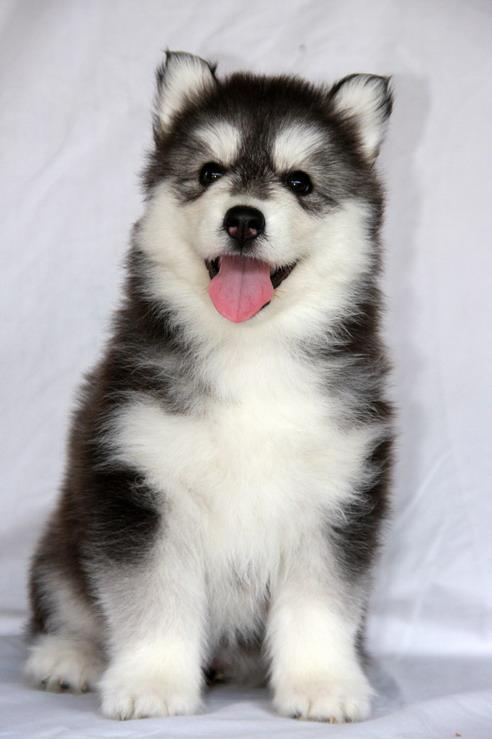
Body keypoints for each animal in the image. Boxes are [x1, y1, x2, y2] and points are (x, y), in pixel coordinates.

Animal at [25, 51, 393, 722]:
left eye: (300, 182)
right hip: (60, 544)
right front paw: (151, 683)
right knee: (68, 602)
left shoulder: (338, 492)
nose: (244, 218)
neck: (251, 354)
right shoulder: (140, 482)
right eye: (209, 171)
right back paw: (70, 657)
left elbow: (320, 605)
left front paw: (322, 685)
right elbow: (153, 598)